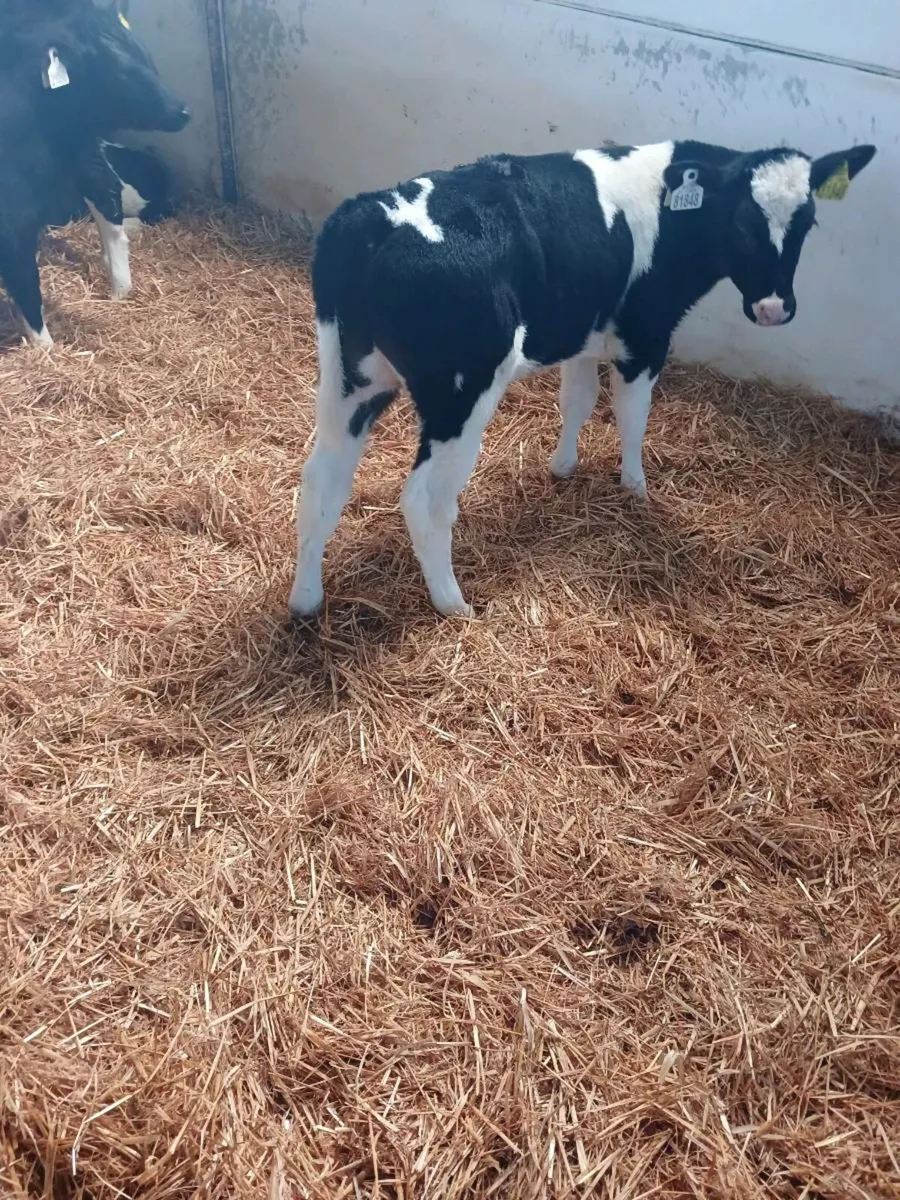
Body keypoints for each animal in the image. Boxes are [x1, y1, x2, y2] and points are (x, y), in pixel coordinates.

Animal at [288, 138, 876, 619]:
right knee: (424, 499)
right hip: (462, 389)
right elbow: (632, 415)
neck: (671, 208)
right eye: (743, 223)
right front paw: (635, 486)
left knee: (321, 479)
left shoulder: (583, 332)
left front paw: (563, 467)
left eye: (807, 223)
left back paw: (306, 600)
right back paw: (454, 604)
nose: (775, 309)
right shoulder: (646, 334)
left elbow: (578, 399)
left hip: (351, 380)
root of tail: (371, 216)